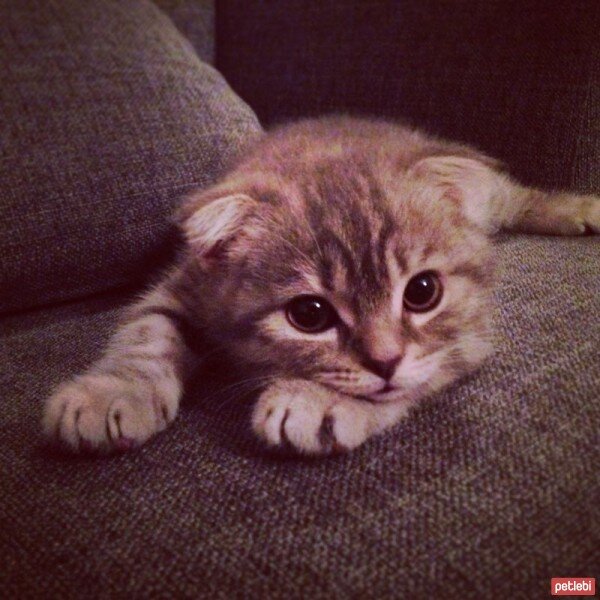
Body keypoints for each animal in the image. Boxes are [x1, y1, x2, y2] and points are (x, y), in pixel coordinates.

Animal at [43, 116, 600, 454]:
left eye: (422, 292)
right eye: (309, 315)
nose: (384, 360)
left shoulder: (467, 335)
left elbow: (416, 379)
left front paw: (321, 401)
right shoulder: (184, 286)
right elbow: (145, 335)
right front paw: (112, 392)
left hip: (492, 196)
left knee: (515, 194)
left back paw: (577, 208)